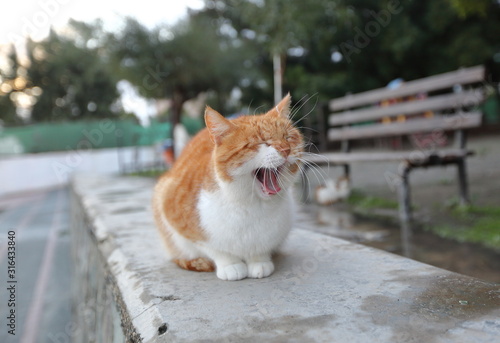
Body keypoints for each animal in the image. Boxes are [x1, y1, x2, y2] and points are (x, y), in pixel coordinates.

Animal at [152, 94, 302, 282]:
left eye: (288, 137)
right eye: (262, 142)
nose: (286, 149)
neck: (252, 204)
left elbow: (261, 249)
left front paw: (259, 261)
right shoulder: (172, 209)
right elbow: (215, 249)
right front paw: (231, 265)